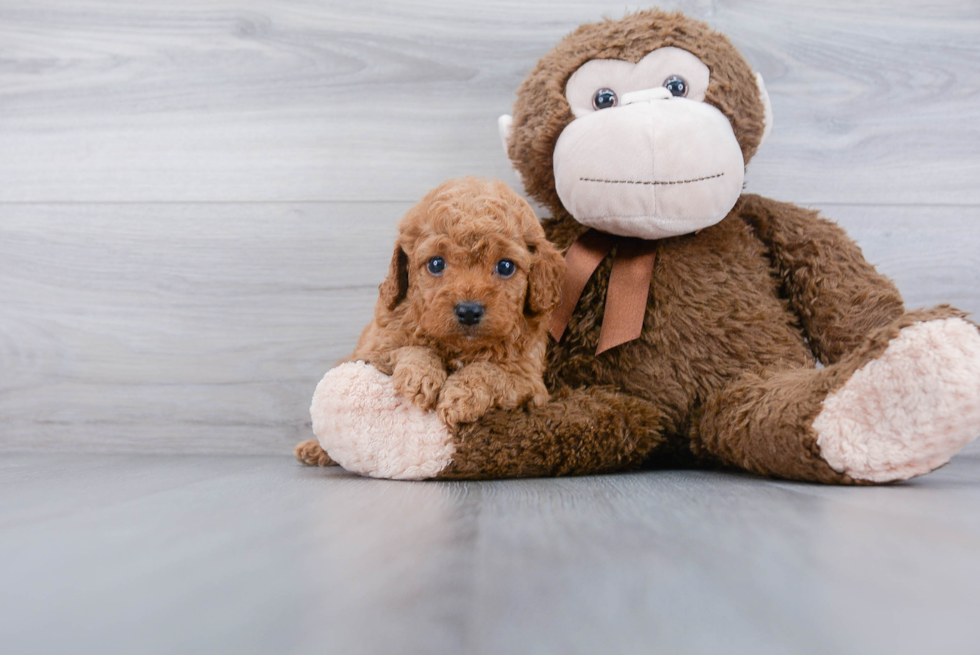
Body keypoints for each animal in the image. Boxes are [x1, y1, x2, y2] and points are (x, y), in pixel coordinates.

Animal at [294, 177, 564, 468]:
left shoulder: (530, 383)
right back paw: (314, 450)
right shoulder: (373, 350)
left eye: (505, 266)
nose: (469, 311)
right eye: (436, 263)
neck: (460, 348)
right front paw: (421, 376)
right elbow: (410, 349)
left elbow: (492, 371)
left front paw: (460, 397)